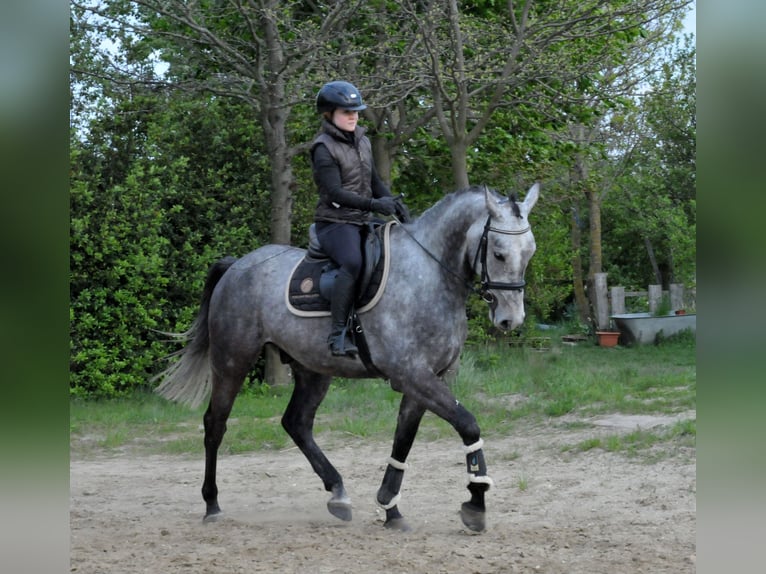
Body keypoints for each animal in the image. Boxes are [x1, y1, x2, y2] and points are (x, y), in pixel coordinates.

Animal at [154, 183, 540, 532]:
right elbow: (468, 424)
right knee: (215, 424)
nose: (511, 320)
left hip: (312, 369)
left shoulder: (427, 379)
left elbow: (404, 440)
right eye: (499, 254)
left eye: (529, 252)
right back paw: (212, 504)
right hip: (232, 360)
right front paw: (476, 502)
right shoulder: (413, 376)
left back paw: (338, 493)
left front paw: (390, 507)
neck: (429, 276)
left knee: (296, 423)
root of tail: (237, 266)